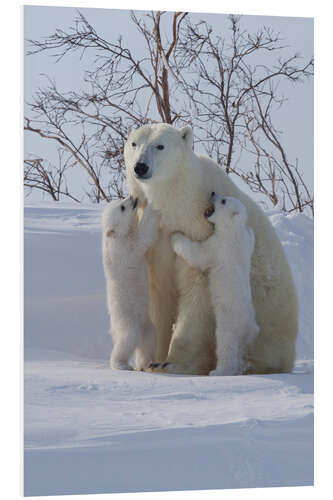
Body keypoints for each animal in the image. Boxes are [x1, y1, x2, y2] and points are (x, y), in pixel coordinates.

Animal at [102, 196, 159, 372]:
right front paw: (152, 207)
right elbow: (141, 239)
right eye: (122, 207)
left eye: (120, 201)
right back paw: (122, 364)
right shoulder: (124, 248)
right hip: (127, 318)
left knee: (149, 338)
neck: (113, 237)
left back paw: (148, 363)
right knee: (127, 339)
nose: (133, 198)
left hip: (145, 321)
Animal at [171, 193, 260, 376]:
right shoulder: (247, 239)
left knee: (226, 343)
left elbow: (199, 255)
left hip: (230, 321)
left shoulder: (218, 247)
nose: (213, 193)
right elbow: (251, 235)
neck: (233, 231)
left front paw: (175, 236)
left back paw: (219, 371)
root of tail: (249, 326)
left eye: (223, 201)